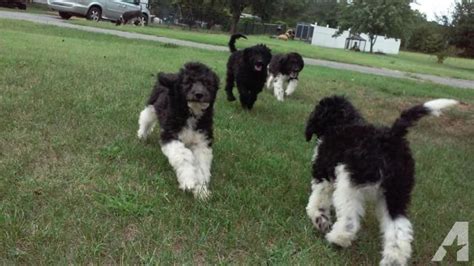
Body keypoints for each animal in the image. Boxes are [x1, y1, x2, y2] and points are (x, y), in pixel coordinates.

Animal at [136, 62, 219, 200]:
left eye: (207, 83)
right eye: (187, 82)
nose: (199, 94)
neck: (190, 113)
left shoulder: (202, 142)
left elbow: (201, 166)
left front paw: (201, 191)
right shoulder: (170, 135)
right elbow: (183, 155)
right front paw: (188, 180)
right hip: (152, 105)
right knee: (145, 117)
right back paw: (142, 135)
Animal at [304, 96, 460, 266]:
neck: (341, 123)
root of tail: (391, 138)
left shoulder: (323, 173)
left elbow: (318, 199)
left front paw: (319, 219)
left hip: (350, 185)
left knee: (350, 220)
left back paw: (337, 239)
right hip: (396, 193)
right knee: (400, 229)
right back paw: (393, 260)